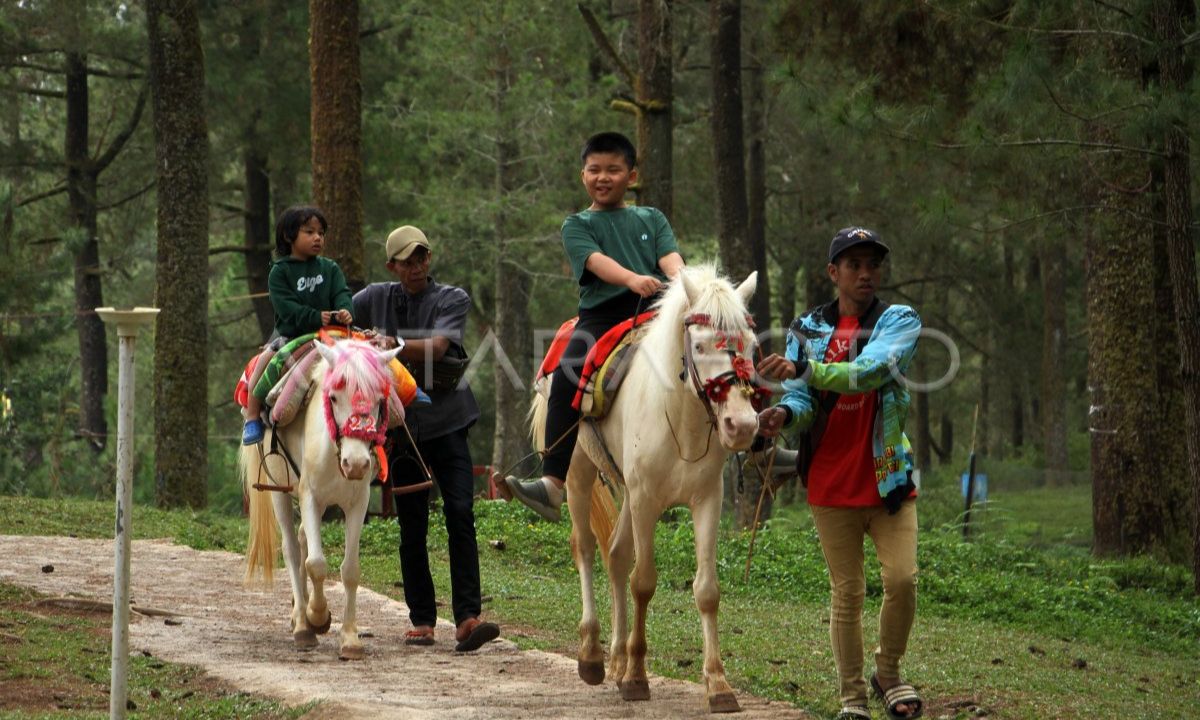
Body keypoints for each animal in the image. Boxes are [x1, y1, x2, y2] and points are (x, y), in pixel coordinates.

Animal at [244, 340, 403, 662]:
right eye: (333, 397)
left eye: (380, 400)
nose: (356, 464)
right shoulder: (311, 497)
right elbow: (315, 563)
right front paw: (317, 617)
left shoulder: (358, 503)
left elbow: (350, 570)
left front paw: (350, 638)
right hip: (280, 492)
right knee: (293, 550)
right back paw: (302, 625)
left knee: (303, 539)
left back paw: (300, 610)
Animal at [535, 265, 758, 715]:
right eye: (701, 345)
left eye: (750, 344)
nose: (742, 426)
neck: (680, 418)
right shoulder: (645, 501)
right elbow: (644, 582)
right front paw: (637, 677)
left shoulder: (706, 502)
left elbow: (706, 590)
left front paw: (718, 684)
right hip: (580, 475)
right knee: (586, 548)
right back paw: (592, 654)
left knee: (616, 555)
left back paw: (617, 658)